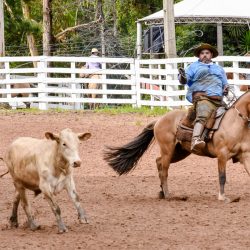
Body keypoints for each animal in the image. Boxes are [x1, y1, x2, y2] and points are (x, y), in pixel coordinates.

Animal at [104, 91, 250, 202]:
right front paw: (222, 197)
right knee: (164, 170)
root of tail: (159, 120)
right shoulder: (222, 155)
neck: (235, 122)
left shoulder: (245, 156)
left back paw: (162, 192)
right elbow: (222, 176)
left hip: (180, 152)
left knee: (158, 162)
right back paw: (168, 195)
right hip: (168, 150)